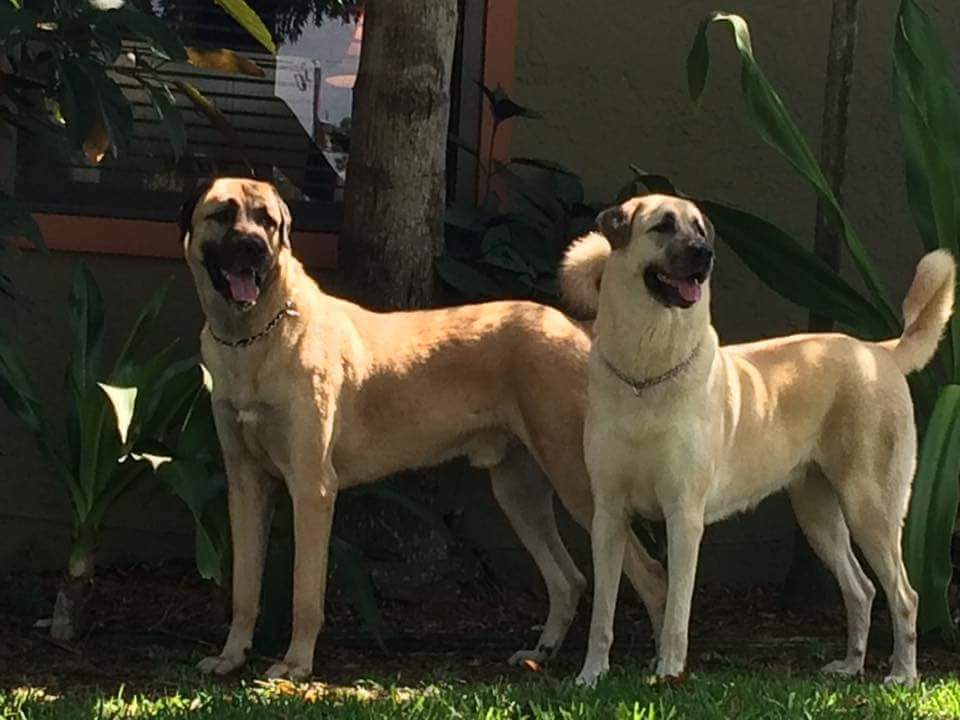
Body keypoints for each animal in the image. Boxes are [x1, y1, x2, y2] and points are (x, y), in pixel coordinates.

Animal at [179, 178, 669, 680]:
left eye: (267, 220)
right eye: (223, 214)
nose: (254, 249)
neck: (254, 337)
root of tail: (576, 325)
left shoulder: (312, 488)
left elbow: (304, 592)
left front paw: (296, 665)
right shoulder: (245, 485)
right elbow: (245, 587)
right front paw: (232, 655)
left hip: (579, 483)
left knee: (651, 574)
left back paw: (658, 666)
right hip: (519, 491)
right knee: (569, 579)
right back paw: (542, 652)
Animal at [559, 193, 955, 686]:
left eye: (699, 229)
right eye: (663, 227)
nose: (705, 256)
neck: (646, 372)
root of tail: (878, 351)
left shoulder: (683, 516)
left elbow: (676, 612)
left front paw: (668, 673)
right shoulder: (608, 516)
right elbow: (602, 614)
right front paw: (591, 676)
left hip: (870, 506)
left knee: (905, 594)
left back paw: (902, 673)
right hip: (818, 513)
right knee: (862, 589)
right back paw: (850, 665)